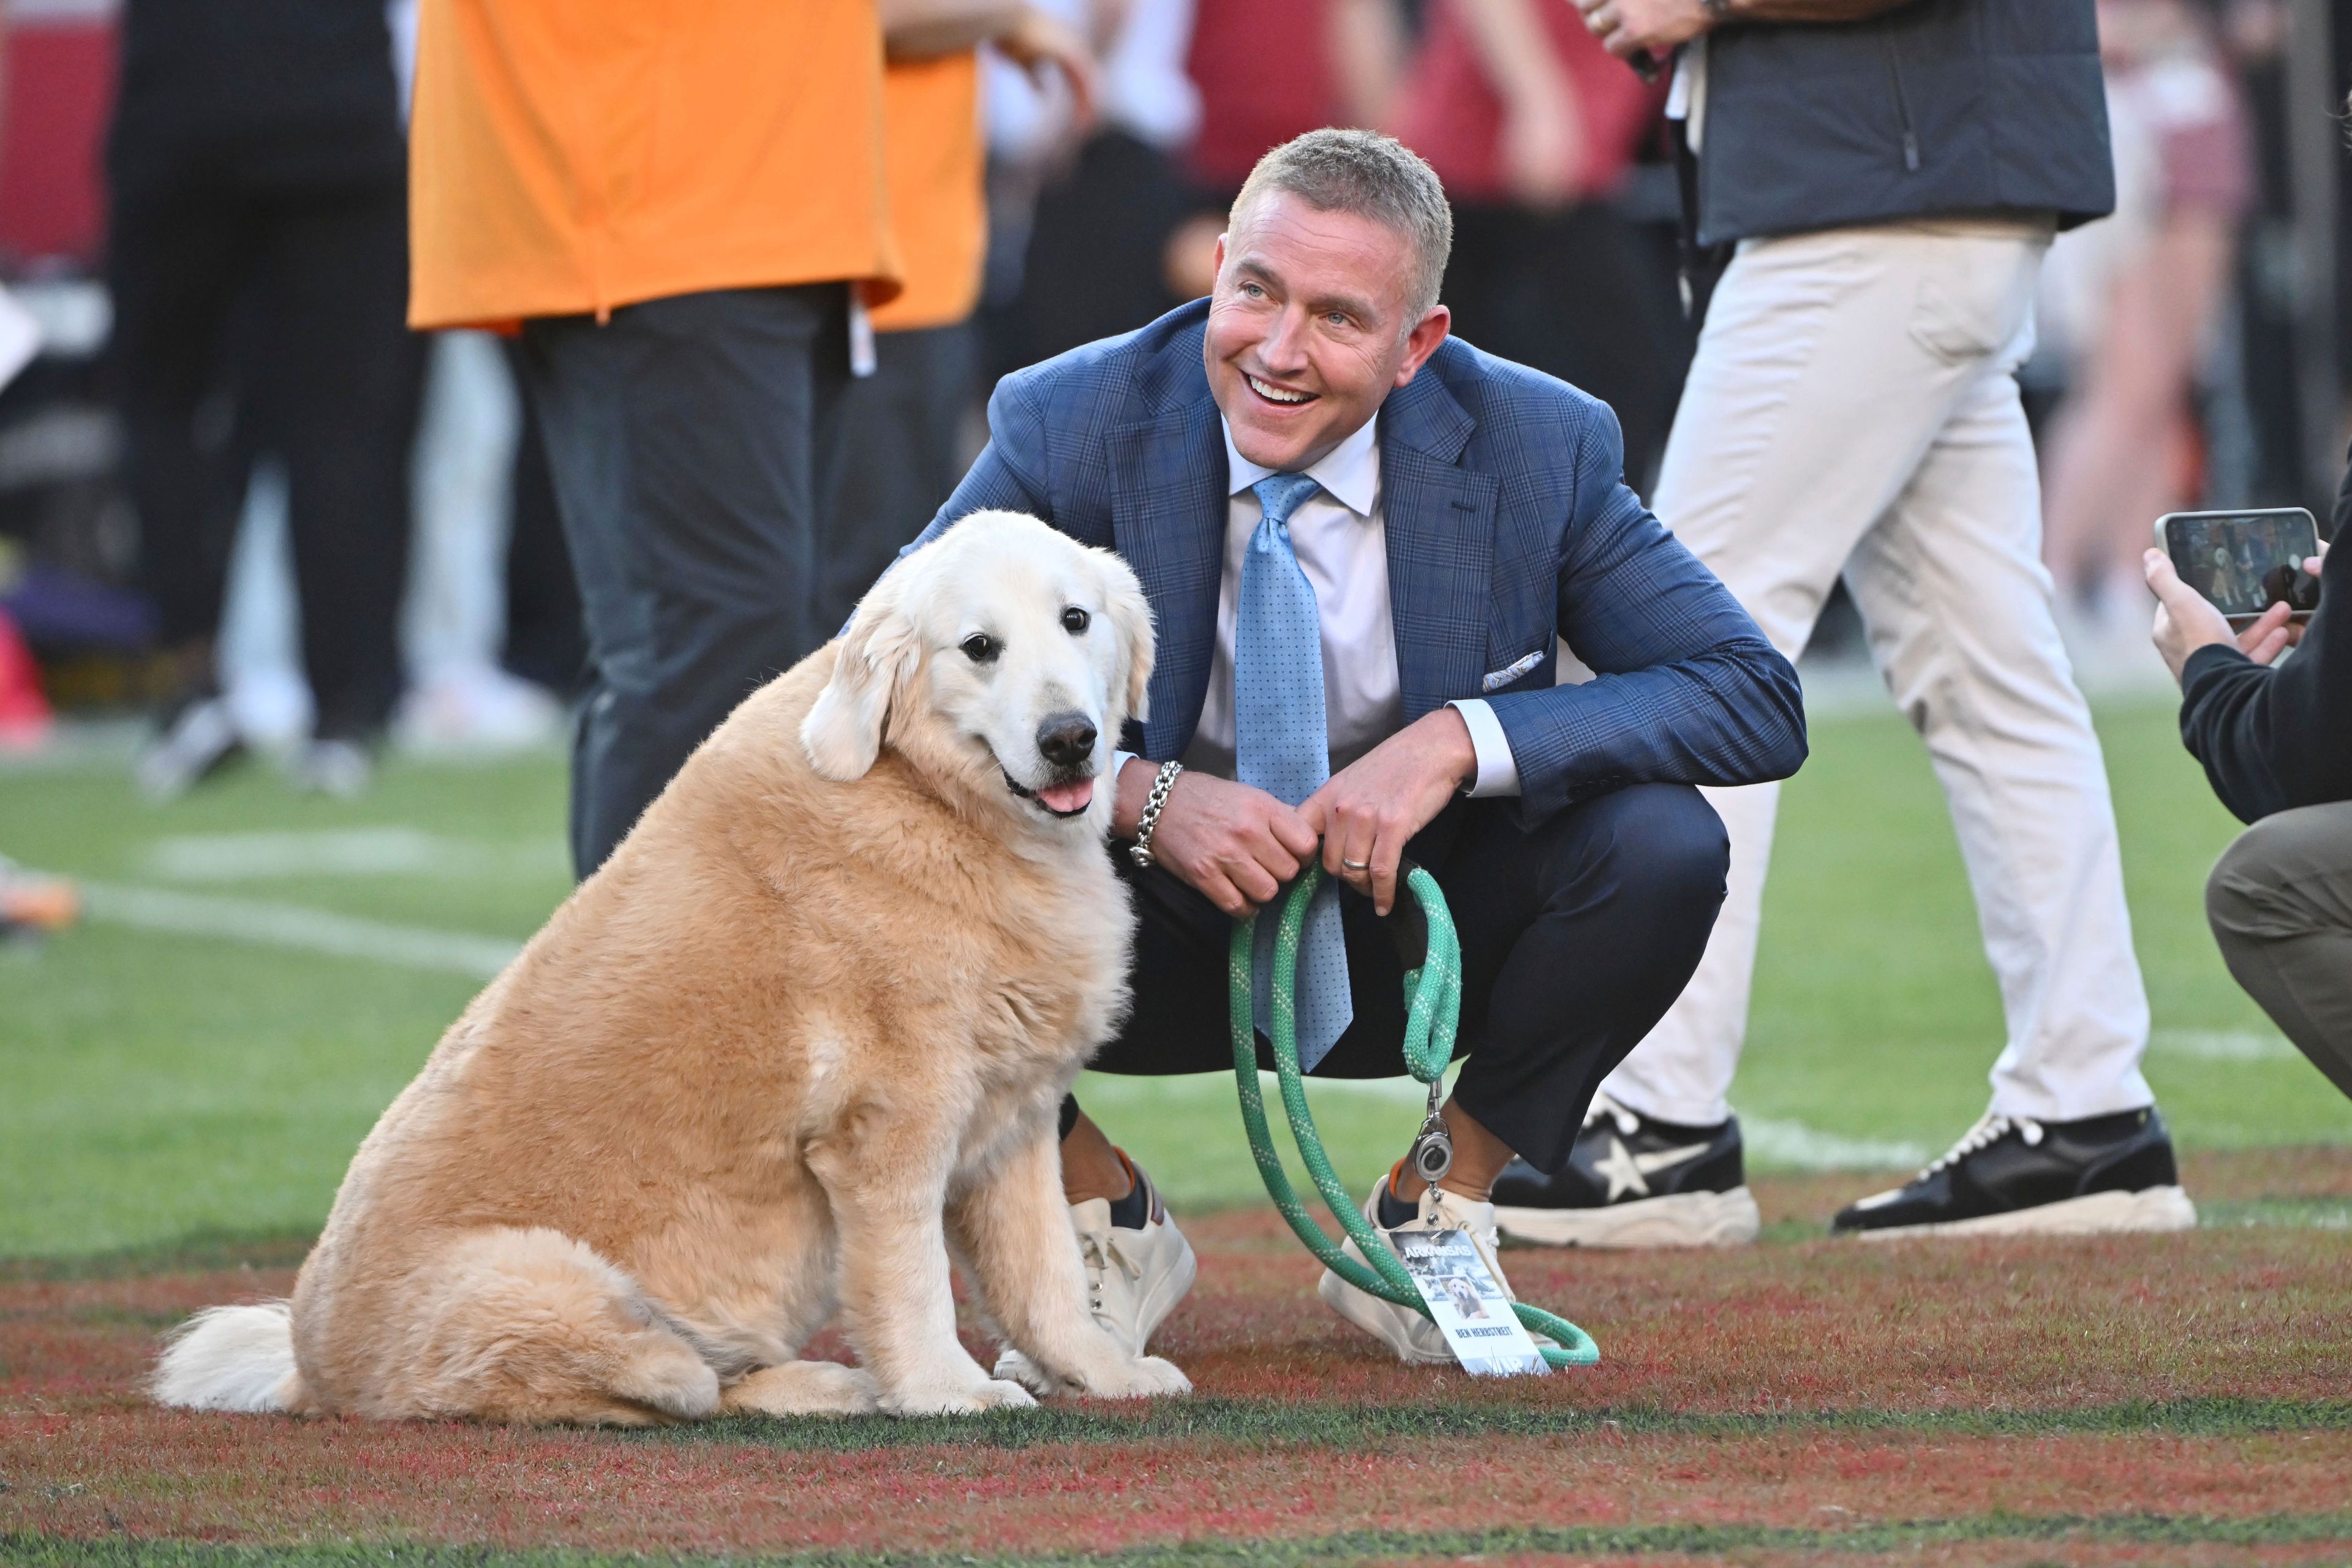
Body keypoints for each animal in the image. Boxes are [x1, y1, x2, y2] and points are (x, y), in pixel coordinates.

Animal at [161, 512, 1194, 1420]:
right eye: (979, 647)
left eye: (1075, 620)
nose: (1070, 738)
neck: (933, 797)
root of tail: (310, 1377)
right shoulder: (888, 1127)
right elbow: (912, 1286)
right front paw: (949, 1392)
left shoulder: (1014, 1121)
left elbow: (1044, 1277)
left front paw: (1103, 1372)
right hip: (555, 1282)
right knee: (670, 1386)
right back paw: (815, 1388)